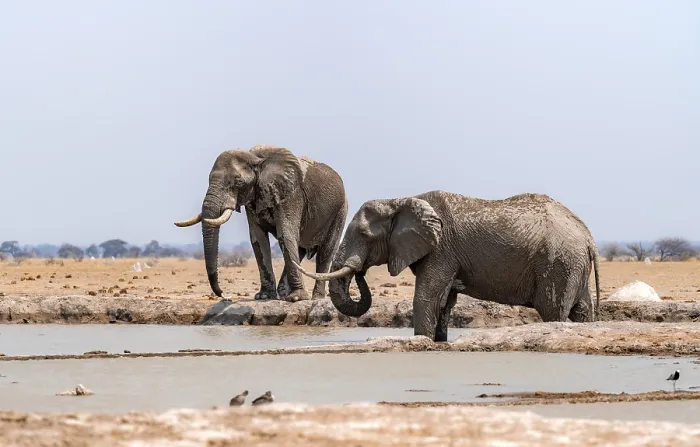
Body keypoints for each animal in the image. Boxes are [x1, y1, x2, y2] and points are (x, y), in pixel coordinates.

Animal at [174, 144, 348, 302]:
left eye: (238, 182)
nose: (224, 295)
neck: (256, 159)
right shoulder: (253, 198)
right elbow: (258, 240)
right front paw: (264, 297)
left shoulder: (291, 195)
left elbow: (285, 235)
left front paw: (297, 298)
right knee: (299, 250)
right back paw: (283, 294)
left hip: (340, 210)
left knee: (325, 252)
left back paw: (316, 297)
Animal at [295, 190, 601, 342]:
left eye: (364, 235)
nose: (361, 272)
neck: (400, 199)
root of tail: (588, 236)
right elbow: (444, 302)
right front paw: (438, 341)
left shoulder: (441, 249)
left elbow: (426, 297)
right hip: (573, 264)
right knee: (581, 310)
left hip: (558, 263)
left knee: (553, 310)